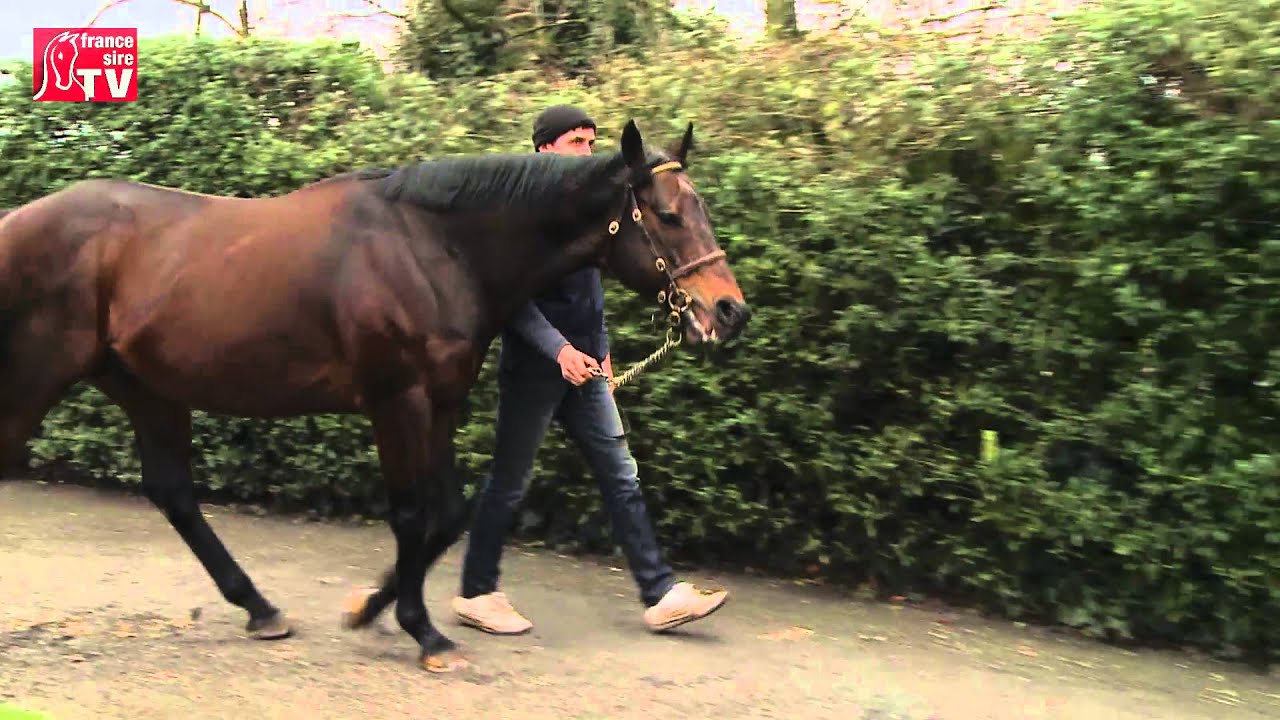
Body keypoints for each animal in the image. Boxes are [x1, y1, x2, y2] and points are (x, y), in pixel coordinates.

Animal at [0, 119, 751, 672]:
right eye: (667, 215)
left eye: (703, 209)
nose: (729, 312)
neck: (432, 246)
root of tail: (16, 223)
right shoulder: (397, 402)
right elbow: (413, 516)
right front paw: (423, 632)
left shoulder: (441, 403)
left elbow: (449, 514)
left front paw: (370, 608)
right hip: (38, 378)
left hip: (147, 387)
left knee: (174, 494)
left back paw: (261, 610)